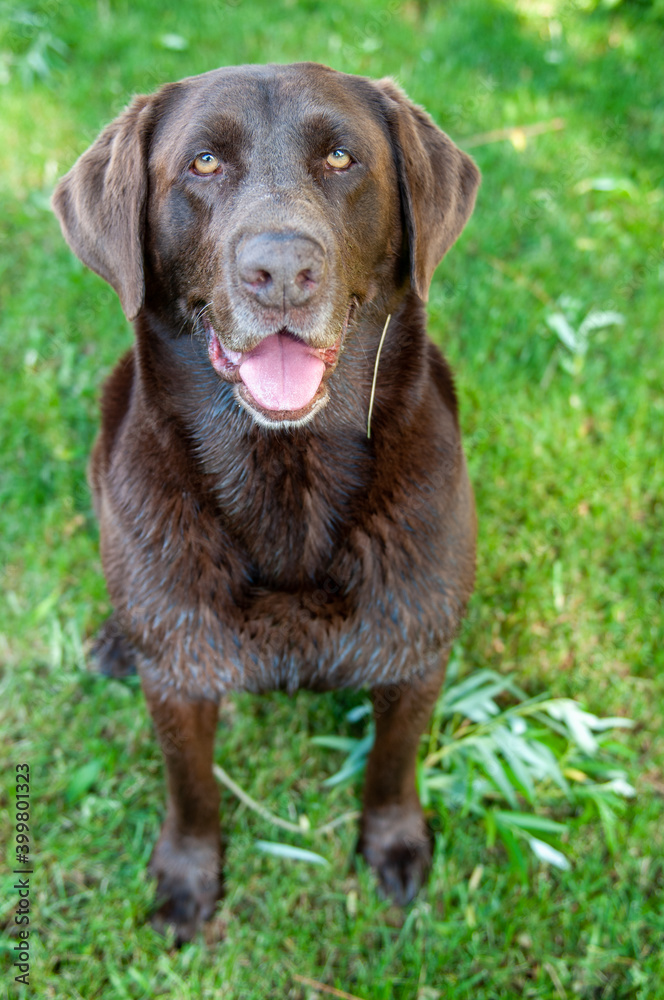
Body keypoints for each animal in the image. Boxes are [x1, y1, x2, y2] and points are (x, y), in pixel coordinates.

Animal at [52, 64, 478, 944]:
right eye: (205, 163)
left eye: (342, 157)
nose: (280, 271)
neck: (288, 473)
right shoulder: (180, 678)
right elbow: (191, 791)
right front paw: (188, 877)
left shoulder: (418, 653)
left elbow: (393, 765)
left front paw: (394, 844)